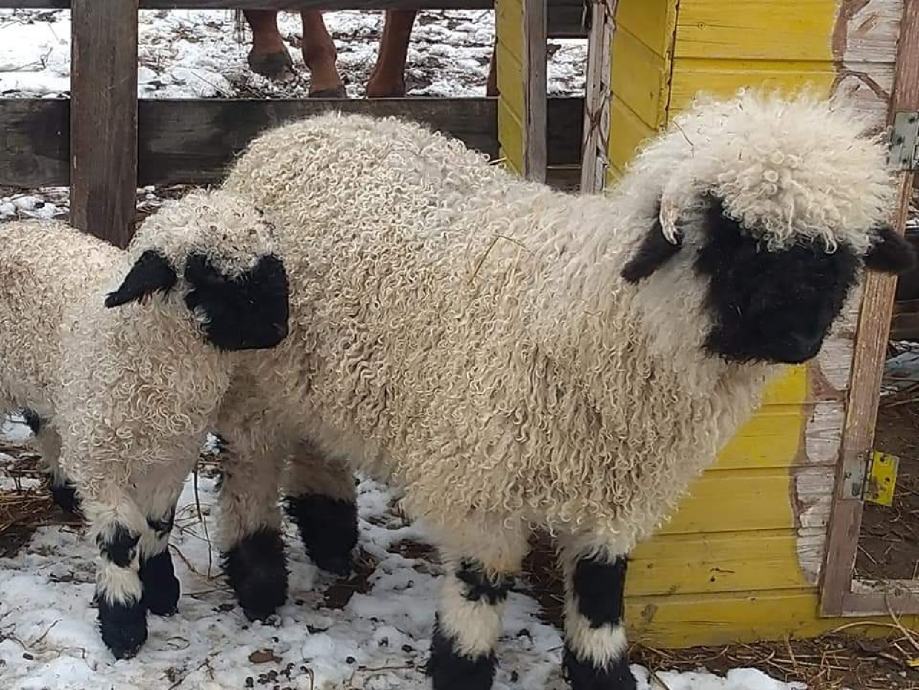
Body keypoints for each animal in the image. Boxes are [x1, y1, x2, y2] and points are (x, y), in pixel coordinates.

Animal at [0, 189, 290, 659]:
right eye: (206, 275)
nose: (278, 327)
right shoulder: (101, 460)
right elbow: (120, 541)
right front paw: (123, 623)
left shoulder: (172, 457)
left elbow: (158, 525)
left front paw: (160, 590)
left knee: (44, 423)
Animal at [217, 90, 916, 690]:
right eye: (730, 239)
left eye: (840, 253)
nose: (799, 339)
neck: (598, 315)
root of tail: (294, 130)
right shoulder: (481, 480)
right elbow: (478, 592)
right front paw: (462, 671)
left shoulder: (618, 490)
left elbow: (601, 595)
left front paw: (603, 677)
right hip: (255, 377)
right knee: (250, 468)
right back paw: (259, 579)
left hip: (323, 376)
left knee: (316, 446)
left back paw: (331, 539)